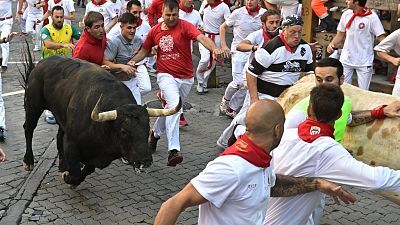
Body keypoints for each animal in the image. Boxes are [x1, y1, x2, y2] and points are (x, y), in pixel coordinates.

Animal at [21, 55, 181, 186]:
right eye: (123, 131)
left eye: (147, 128)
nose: (145, 162)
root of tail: (42, 63)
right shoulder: (71, 143)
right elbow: (75, 172)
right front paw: (68, 176)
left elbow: (86, 171)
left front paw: (68, 175)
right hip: (33, 105)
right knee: (28, 129)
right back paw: (28, 162)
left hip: (61, 116)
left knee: (59, 137)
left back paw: (61, 167)